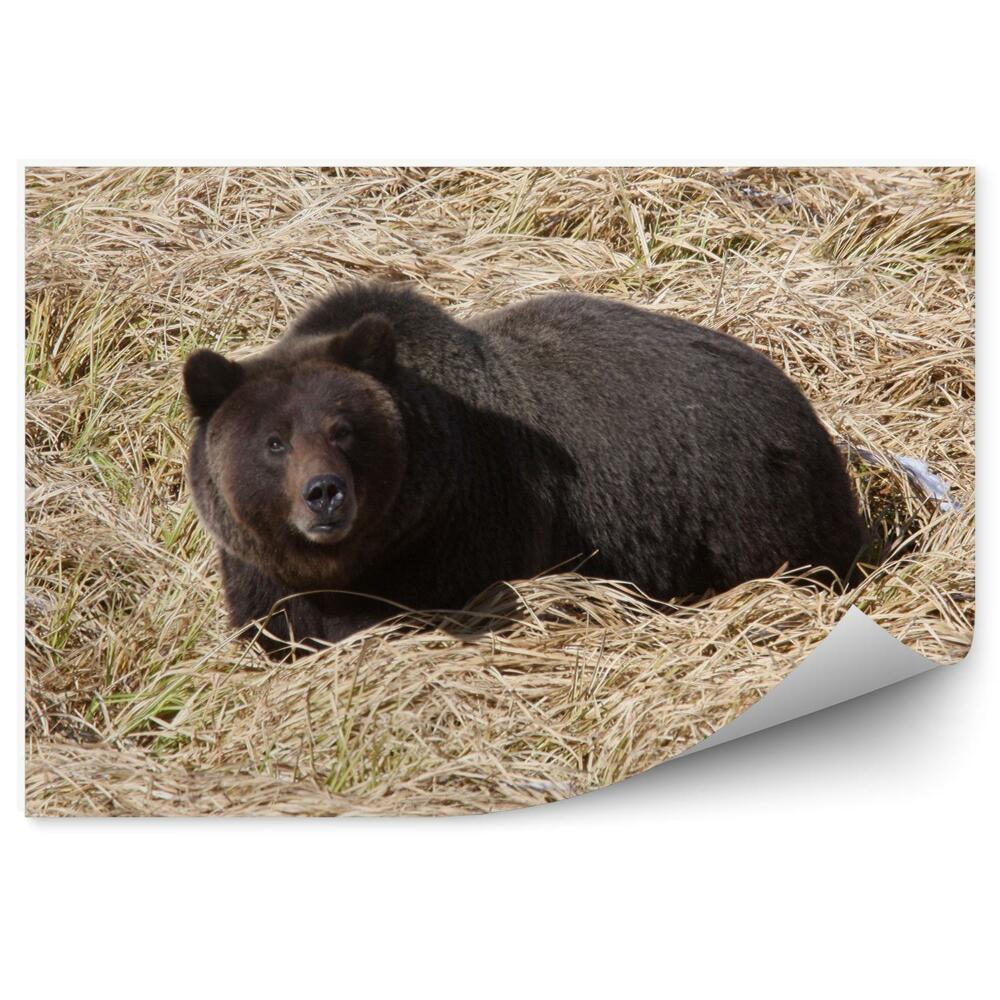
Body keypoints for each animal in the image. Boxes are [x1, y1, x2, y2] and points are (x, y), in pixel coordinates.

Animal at [183, 283, 866, 658]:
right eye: (274, 442)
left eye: (343, 429)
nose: (324, 494)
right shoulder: (265, 576)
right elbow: (279, 627)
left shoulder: (470, 532)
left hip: (746, 505)